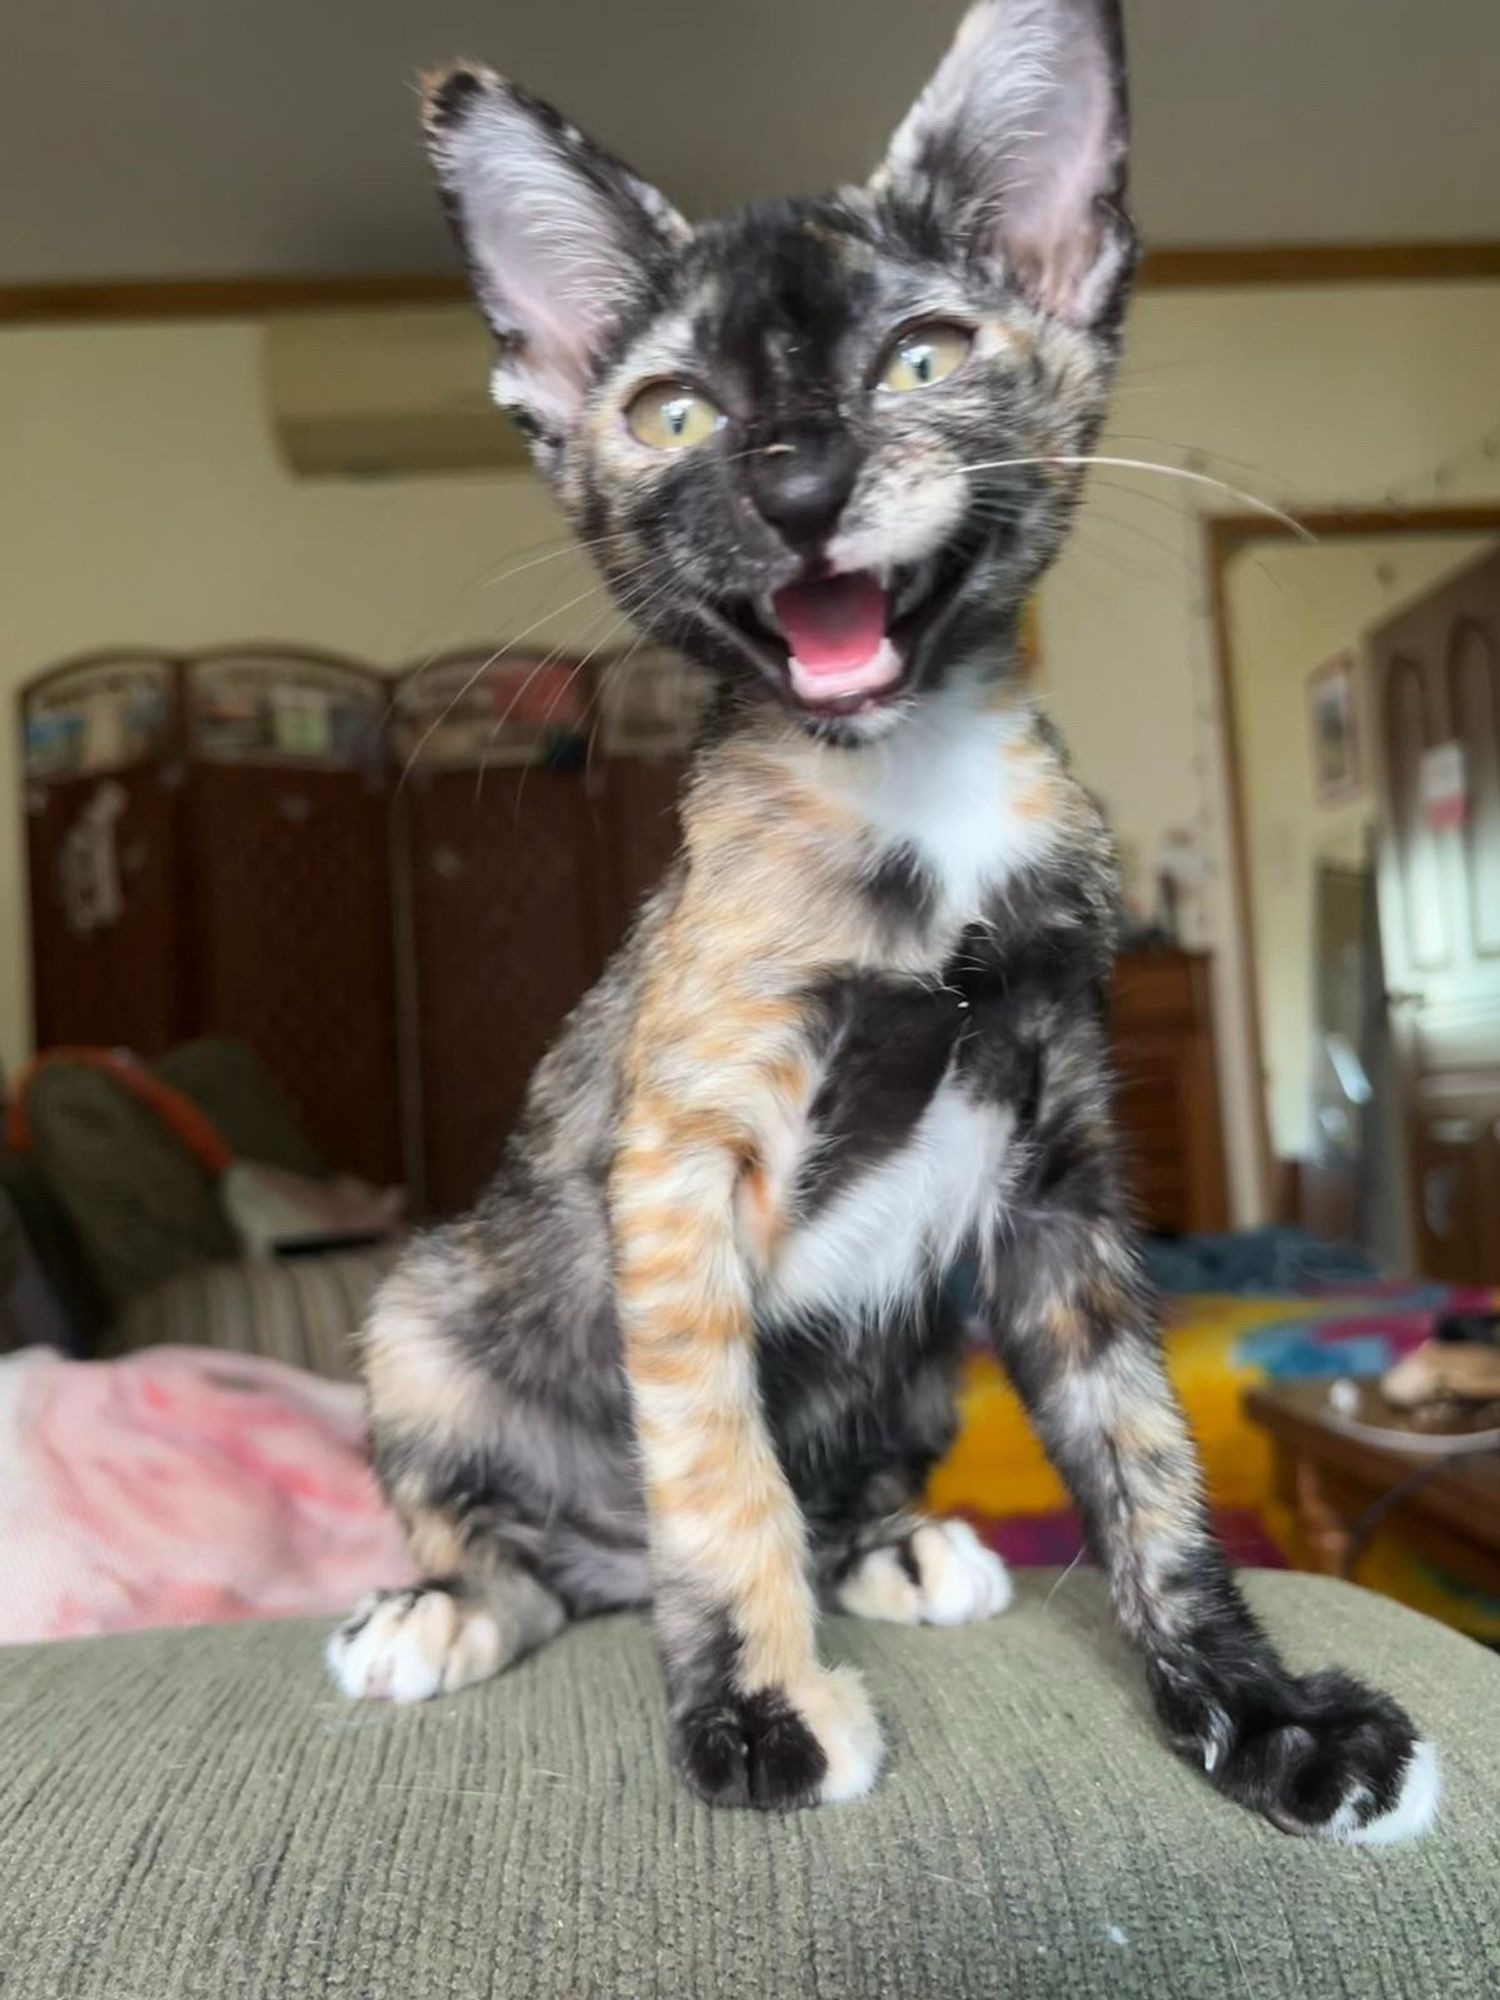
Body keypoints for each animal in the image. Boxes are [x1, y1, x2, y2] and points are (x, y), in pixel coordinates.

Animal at [332, 0, 1448, 1840]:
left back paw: (895, 1546)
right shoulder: (678, 1164)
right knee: (524, 1544)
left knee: (829, 1479)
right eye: (675, 414)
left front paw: (1259, 1705)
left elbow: (1147, 1464)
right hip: (428, 1309)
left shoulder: (1061, 1185)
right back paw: (442, 1606)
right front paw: (760, 1702)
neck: (911, 796)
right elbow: (716, 1463)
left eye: (921, 360)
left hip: (925, 1344)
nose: (798, 480)